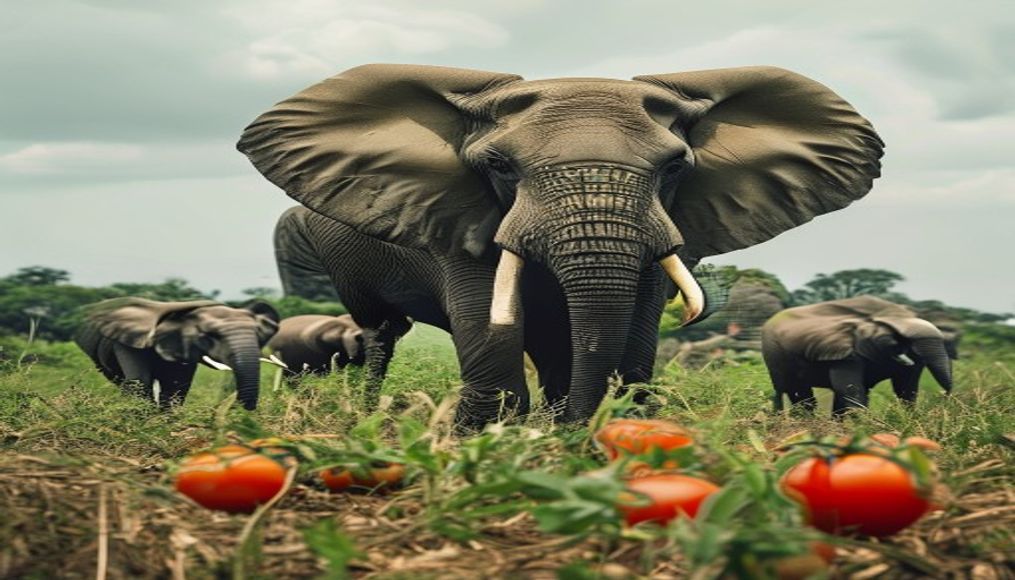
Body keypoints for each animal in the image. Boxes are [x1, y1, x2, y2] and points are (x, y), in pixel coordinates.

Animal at [74, 298, 280, 409]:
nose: (233, 408)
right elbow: (141, 381)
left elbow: (175, 386)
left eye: (257, 333)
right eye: (209, 335)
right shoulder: (129, 342)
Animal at [239, 63, 883, 428]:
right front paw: (489, 436)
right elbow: (488, 319)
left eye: (676, 167)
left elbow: (635, 322)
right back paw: (369, 408)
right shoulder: (461, 214)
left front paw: (601, 428)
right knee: (382, 330)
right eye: (499, 165)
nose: (581, 427)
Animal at [761, 296, 956, 415]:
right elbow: (850, 389)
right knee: (789, 390)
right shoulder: (845, 354)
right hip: (773, 351)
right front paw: (865, 426)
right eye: (892, 340)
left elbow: (906, 389)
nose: (945, 398)